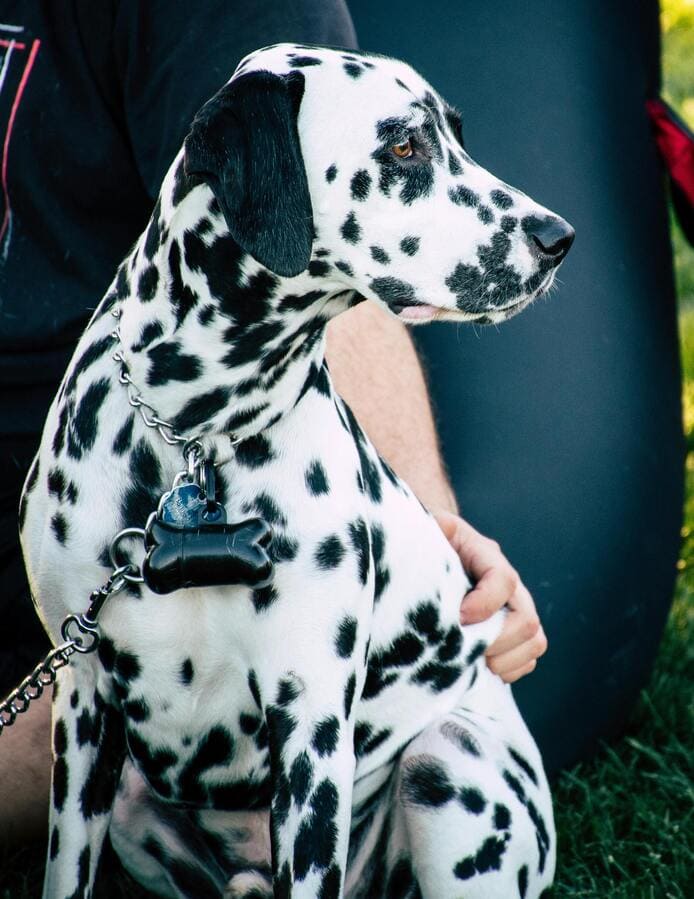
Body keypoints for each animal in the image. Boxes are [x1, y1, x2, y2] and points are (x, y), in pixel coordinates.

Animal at [21, 44, 576, 899]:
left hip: (447, 764)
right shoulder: (81, 707)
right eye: (403, 146)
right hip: (133, 802)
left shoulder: (310, 727)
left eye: (456, 134)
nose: (558, 237)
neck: (195, 432)